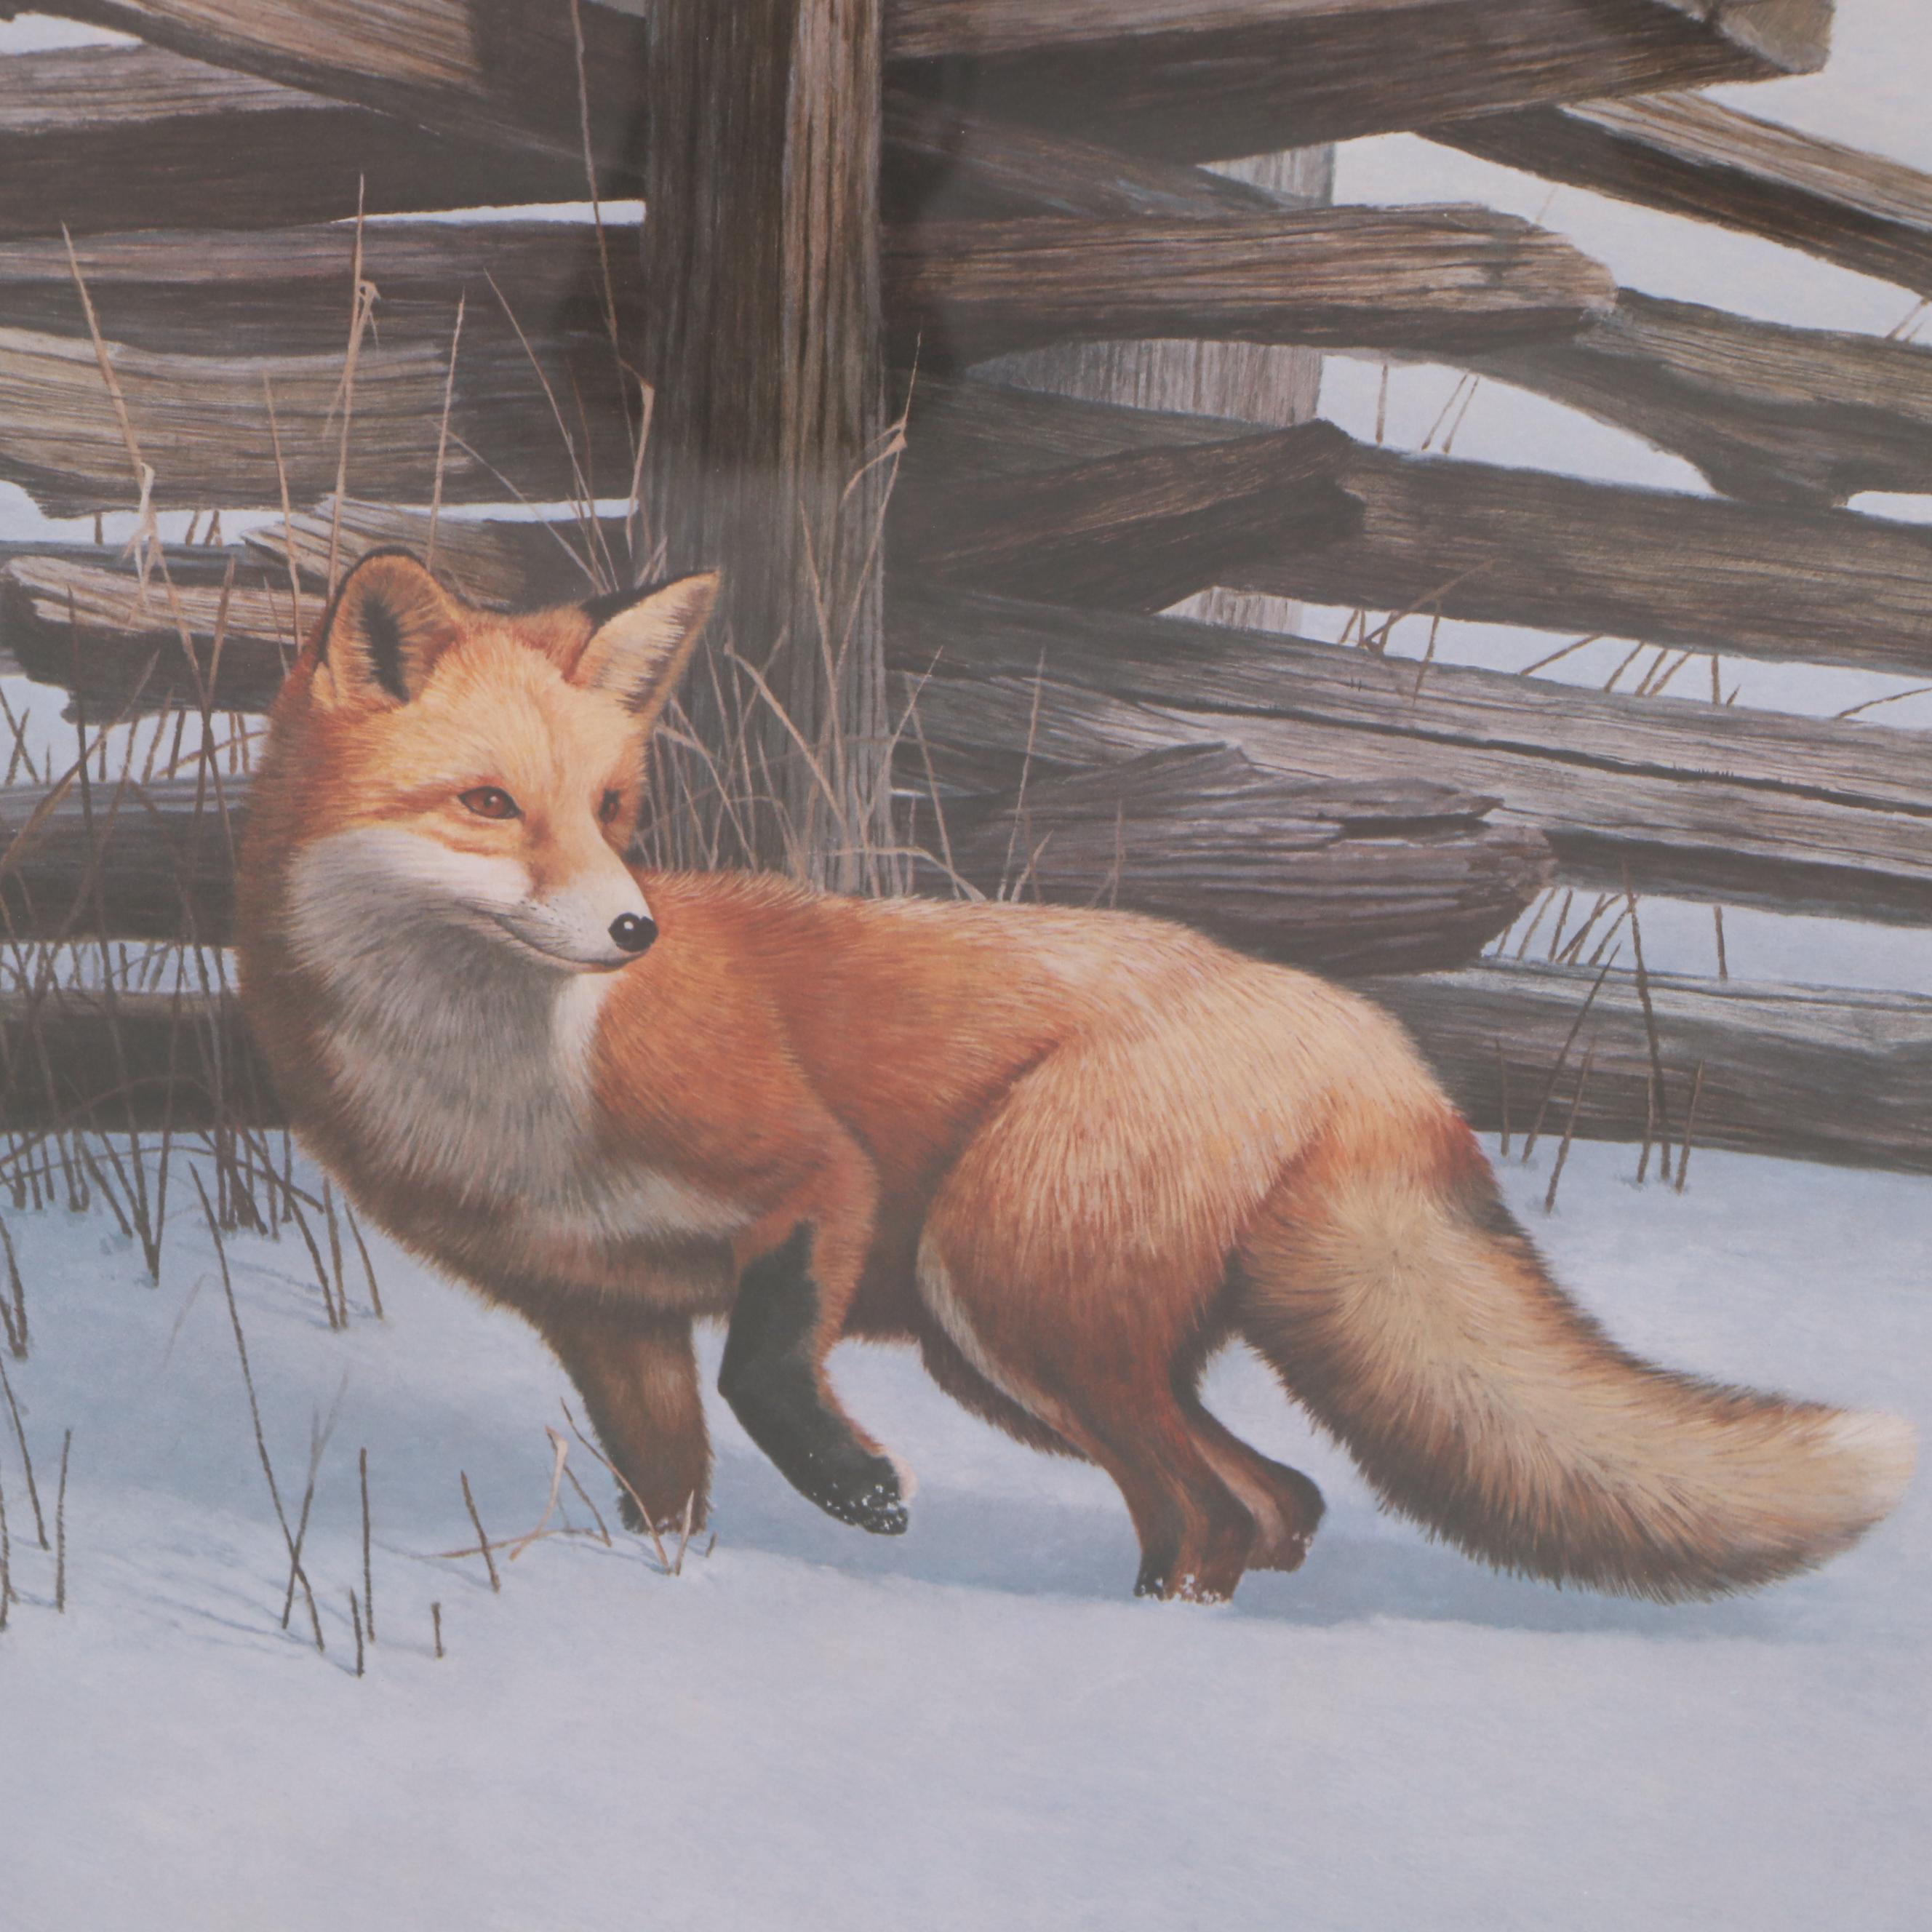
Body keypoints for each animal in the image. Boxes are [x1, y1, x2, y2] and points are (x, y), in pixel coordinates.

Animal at [236, 549, 1914, 1603]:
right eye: (488, 804)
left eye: (613, 809)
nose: (633, 930)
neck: (508, 1092)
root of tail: (1364, 1034)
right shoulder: (602, 1318)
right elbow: (671, 1497)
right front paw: (673, 1597)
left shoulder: (813, 1178)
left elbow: (765, 1367)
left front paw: (851, 1489)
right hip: (1012, 1349)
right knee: (1271, 1503)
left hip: (996, 1289)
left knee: (1232, 1502)